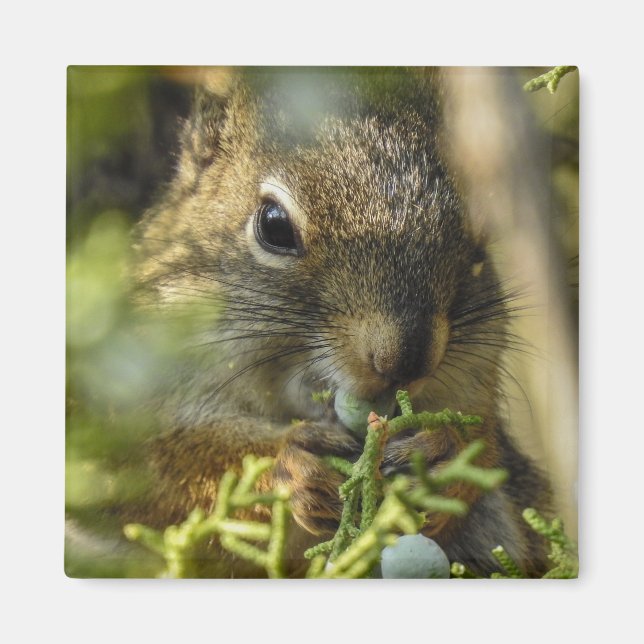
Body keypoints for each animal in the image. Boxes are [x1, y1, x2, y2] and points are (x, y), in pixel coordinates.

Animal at [130, 67, 552, 577]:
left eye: (477, 245)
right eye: (273, 226)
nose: (404, 360)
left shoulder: (475, 387)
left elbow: (484, 450)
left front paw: (442, 454)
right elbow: (167, 466)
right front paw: (290, 467)